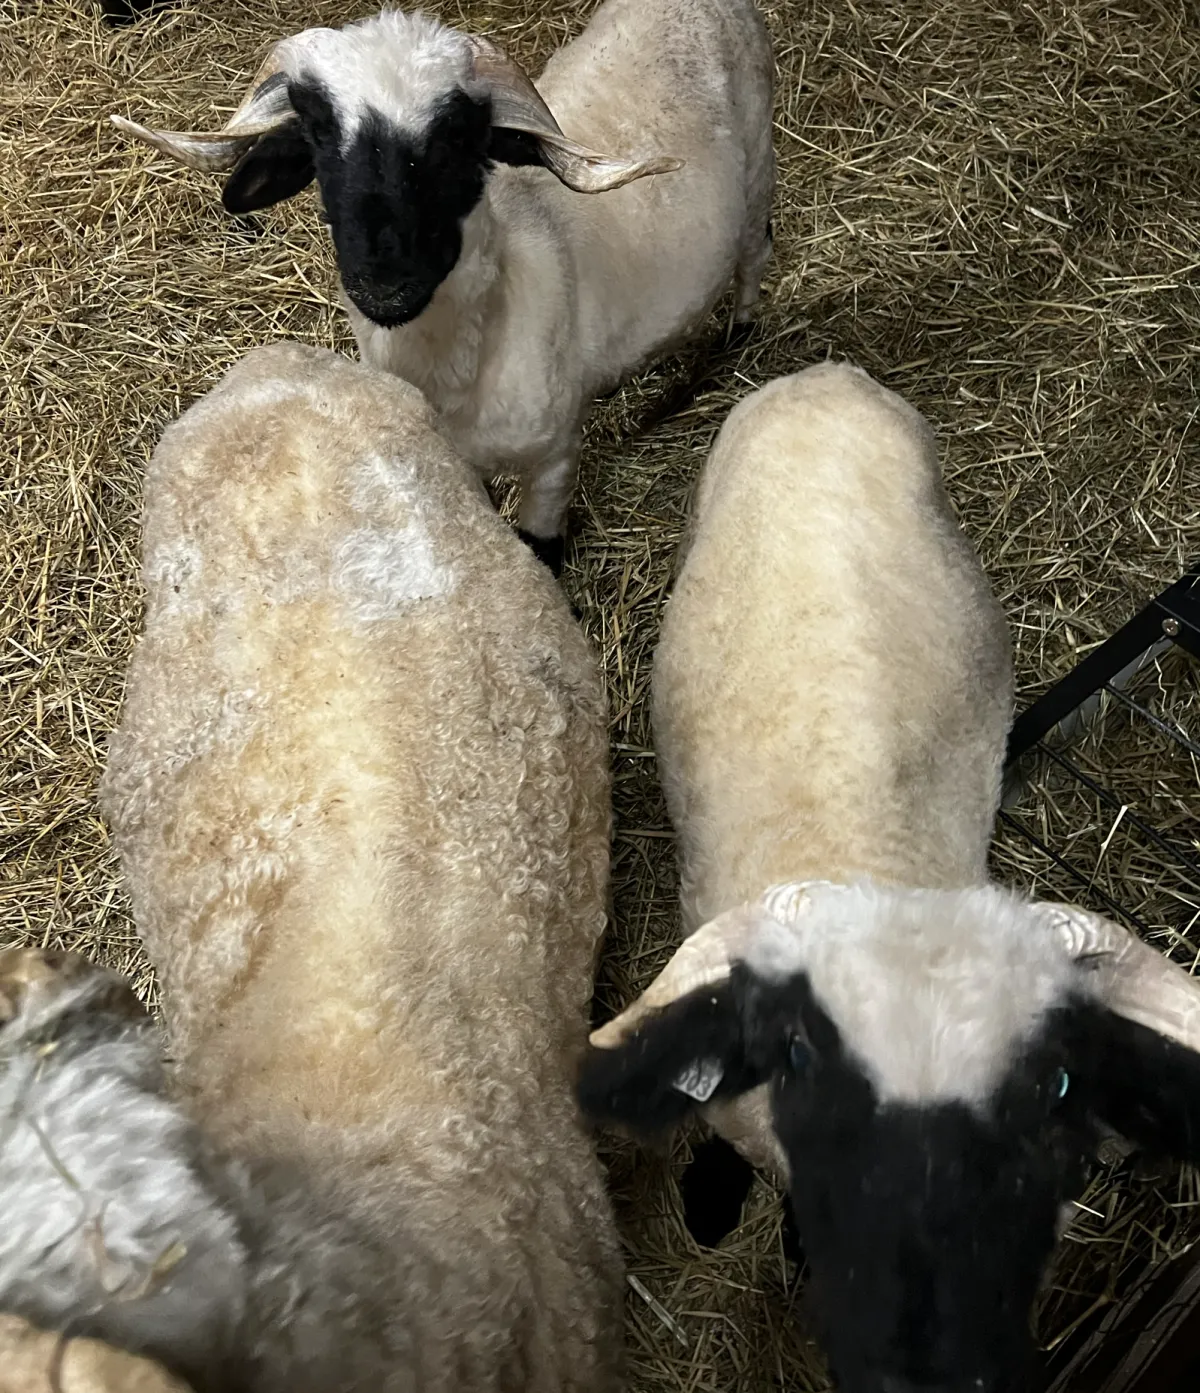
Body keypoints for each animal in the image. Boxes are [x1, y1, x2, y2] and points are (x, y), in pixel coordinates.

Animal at [109, 0, 777, 574]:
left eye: (456, 137)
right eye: (319, 133)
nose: (385, 282)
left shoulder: (555, 458)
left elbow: (542, 552)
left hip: (759, 164)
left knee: (754, 256)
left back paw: (741, 334)